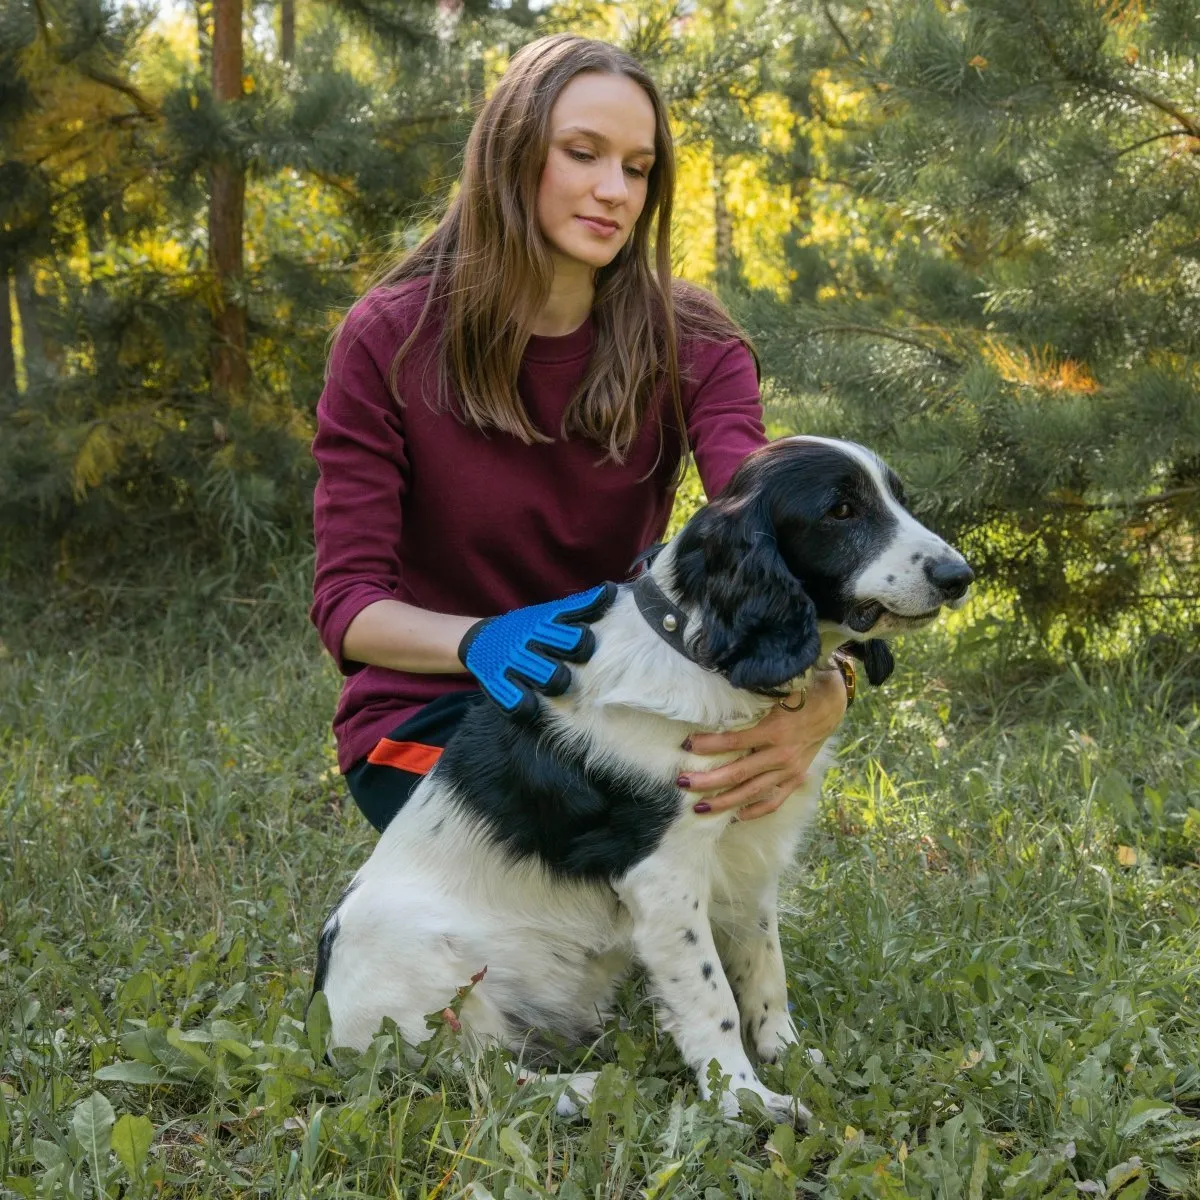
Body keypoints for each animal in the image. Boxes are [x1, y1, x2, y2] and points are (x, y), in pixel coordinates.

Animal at [314, 439, 969, 1123]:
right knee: (484, 1078)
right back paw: (588, 1087)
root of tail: (332, 1034)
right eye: (841, 510)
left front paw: (786, 1052)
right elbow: (712, 998)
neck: (702, 653)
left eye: (899, 498)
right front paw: (743, 1098)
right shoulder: (664, 878)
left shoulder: (747, 855)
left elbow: (765, 966)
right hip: (429, 964)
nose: (960, 577)